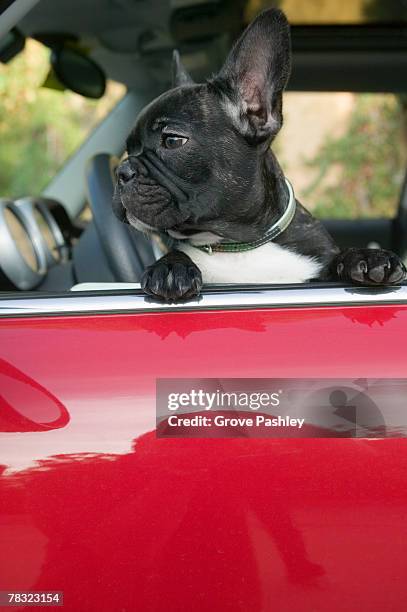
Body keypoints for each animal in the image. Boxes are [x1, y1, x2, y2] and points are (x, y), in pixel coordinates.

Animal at [113, 4, 406, 302]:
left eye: (172, 140)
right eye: (129, 149)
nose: (121, 170)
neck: (239, 244)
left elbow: (339, 257)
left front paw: (368, 257)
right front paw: (171, 267)